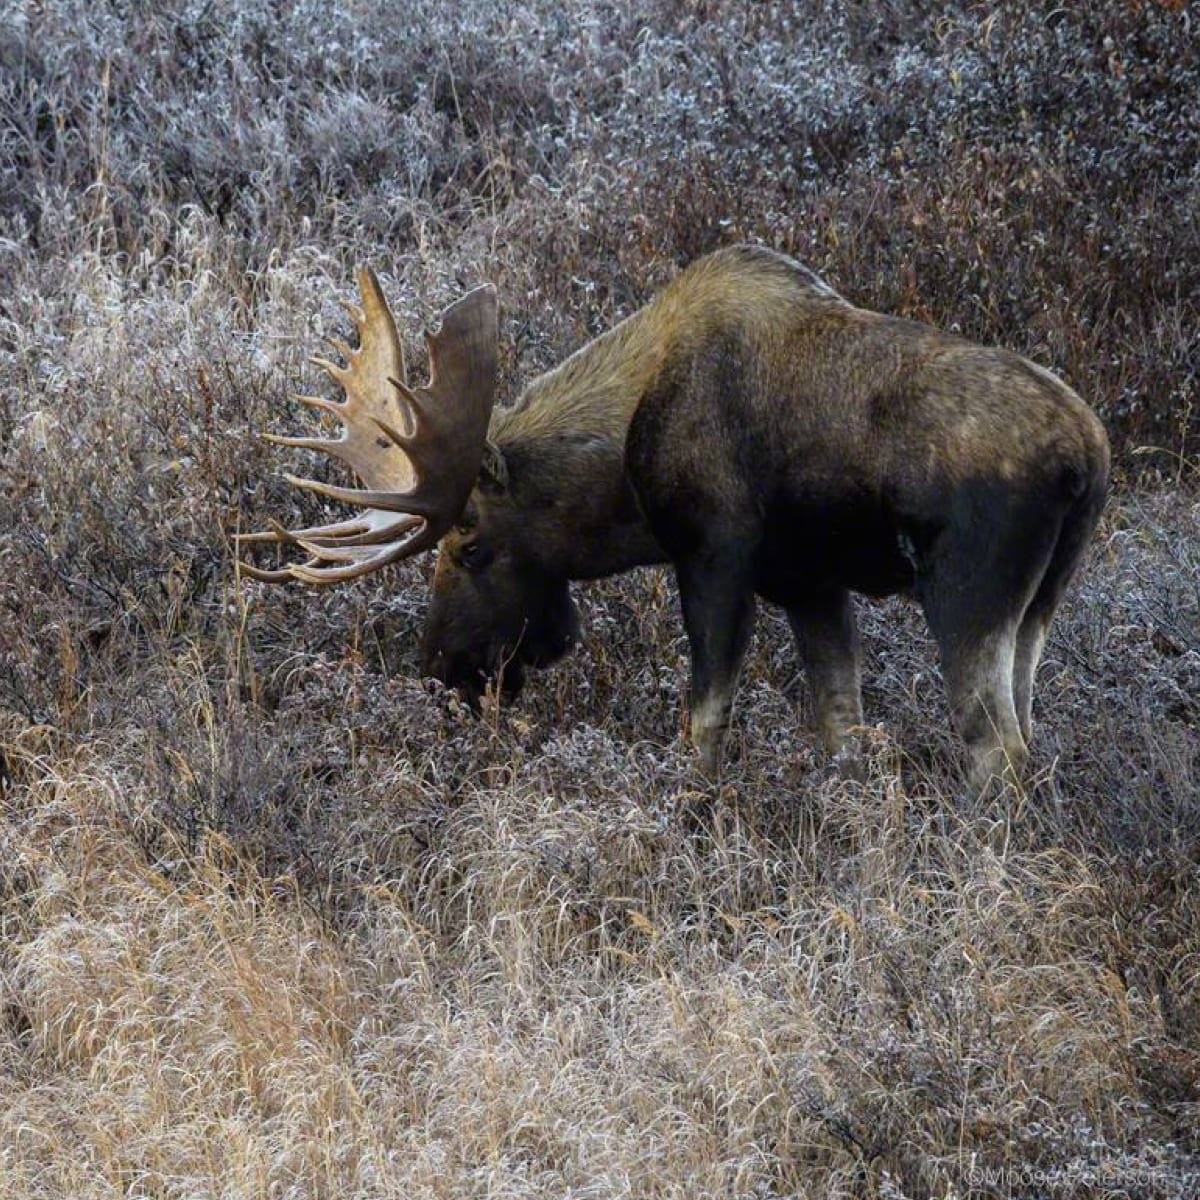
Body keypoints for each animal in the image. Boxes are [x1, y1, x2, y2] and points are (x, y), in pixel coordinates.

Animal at [238, 245, 1110, 795]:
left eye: (471, 543)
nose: (443, 669)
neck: (622, 473)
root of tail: (1088, 458)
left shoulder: (713, 557)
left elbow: (702, 729)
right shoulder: (810, 584)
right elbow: (842, 732)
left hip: (966, 593)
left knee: (997, 750)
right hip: (1040, 605)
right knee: (1029, 736)